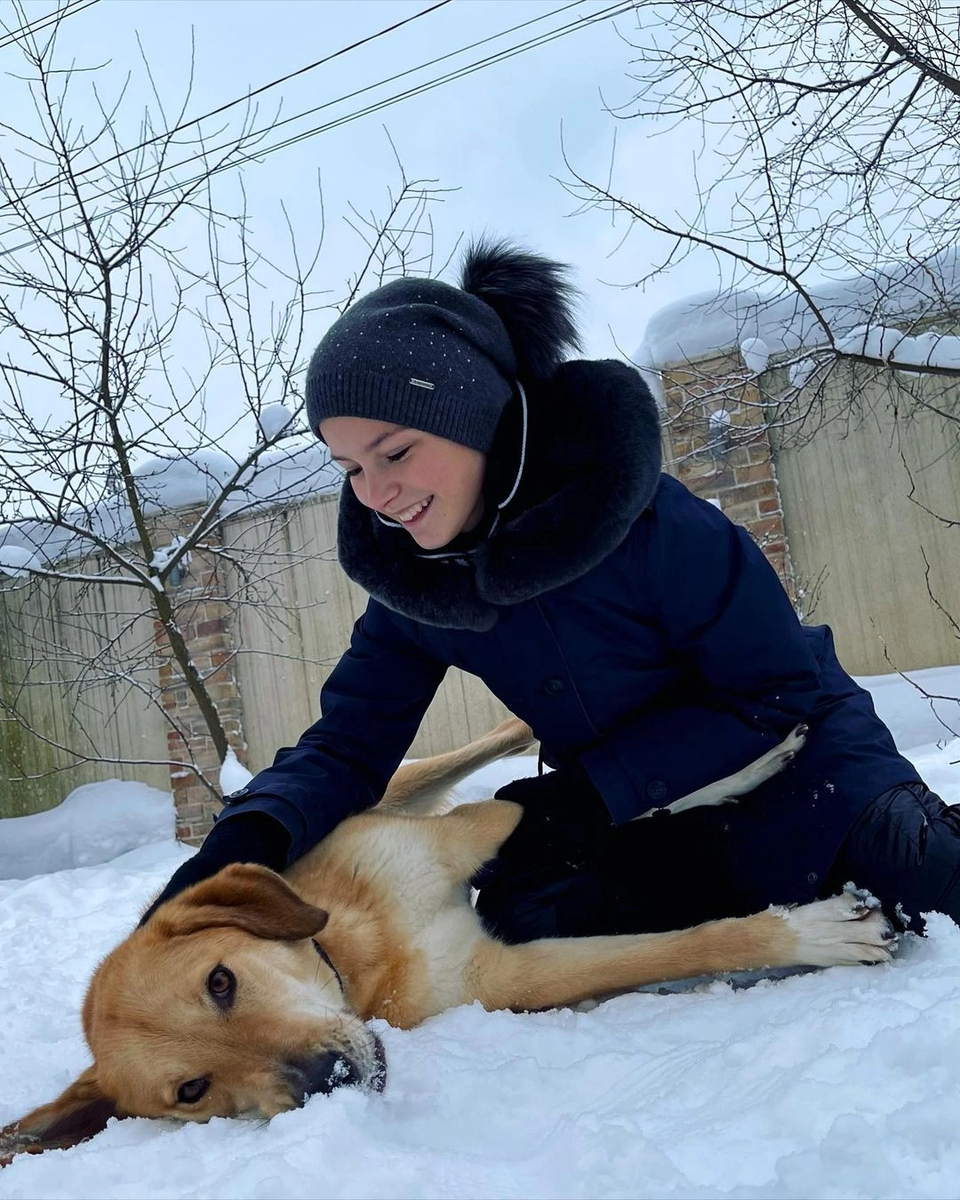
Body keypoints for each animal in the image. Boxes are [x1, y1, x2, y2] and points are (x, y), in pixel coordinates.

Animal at [3, 715, 897, 1156]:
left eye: (219, 981)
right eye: (191, 1092)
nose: (328, 1076)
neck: (357, 957)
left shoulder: (469, 834)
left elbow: (582, 802)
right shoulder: (501, 980)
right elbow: (682, 942)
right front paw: (815, 934)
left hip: (401, 785)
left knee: (508, 759)